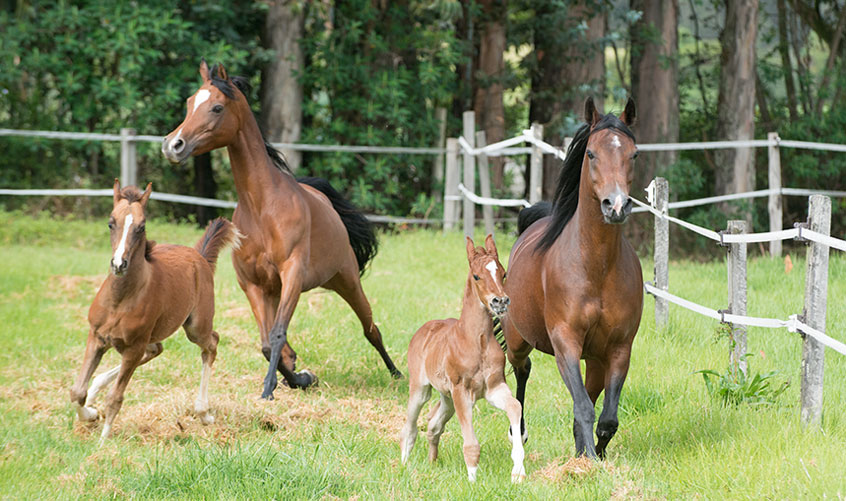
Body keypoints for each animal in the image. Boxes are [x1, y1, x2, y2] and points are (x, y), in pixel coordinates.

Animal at [69, 179, 238, 442]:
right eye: (110, 222)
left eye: (141, 226)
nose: (119, 264)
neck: (120, 299)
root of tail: (199, 255)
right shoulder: (96, 337)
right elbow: (77, 391)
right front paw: (91, 414)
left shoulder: (134, 347)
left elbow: (115, 398)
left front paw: (103, 442)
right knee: (156, 349)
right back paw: (97, 387)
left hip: (195, 327)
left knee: (211, 343)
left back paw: (204, 413)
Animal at [165, 61, 404, 398]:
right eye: (189, 103)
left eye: (216, 107)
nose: (173, 146)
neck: (262, 206)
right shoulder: (252, 284)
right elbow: (268, 343)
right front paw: (298, 378)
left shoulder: (292, 273)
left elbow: (277, 334)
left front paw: (271, 388)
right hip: (277, 291)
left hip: (346, 280)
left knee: (371, 329)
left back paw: (397, 373)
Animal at [400, 236, 528, 482]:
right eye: (477, 276)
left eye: (503, 273)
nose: (500, 301)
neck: (477, 341)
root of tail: (424, 329)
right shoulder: (462, 391)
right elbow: (471, 443)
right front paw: (472, 480)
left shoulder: (493, 388)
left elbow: (515, 406)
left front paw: (518, 471)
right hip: (421, 388)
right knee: (409, 428)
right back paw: (403, 466)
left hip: (446, 397)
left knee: (433, 425)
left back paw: (432, 462)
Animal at [504, 96, 644, 458]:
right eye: (591, 153)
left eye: (634, 154)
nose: (616, 206)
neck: (596, 268)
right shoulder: (565, 341)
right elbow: (583, 407)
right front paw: (588, 460)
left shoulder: (619, 348)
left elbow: (606, 417)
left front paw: (593, 455)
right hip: (517, 341)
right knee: (522, 372)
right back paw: (518, 433)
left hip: (595, 360)